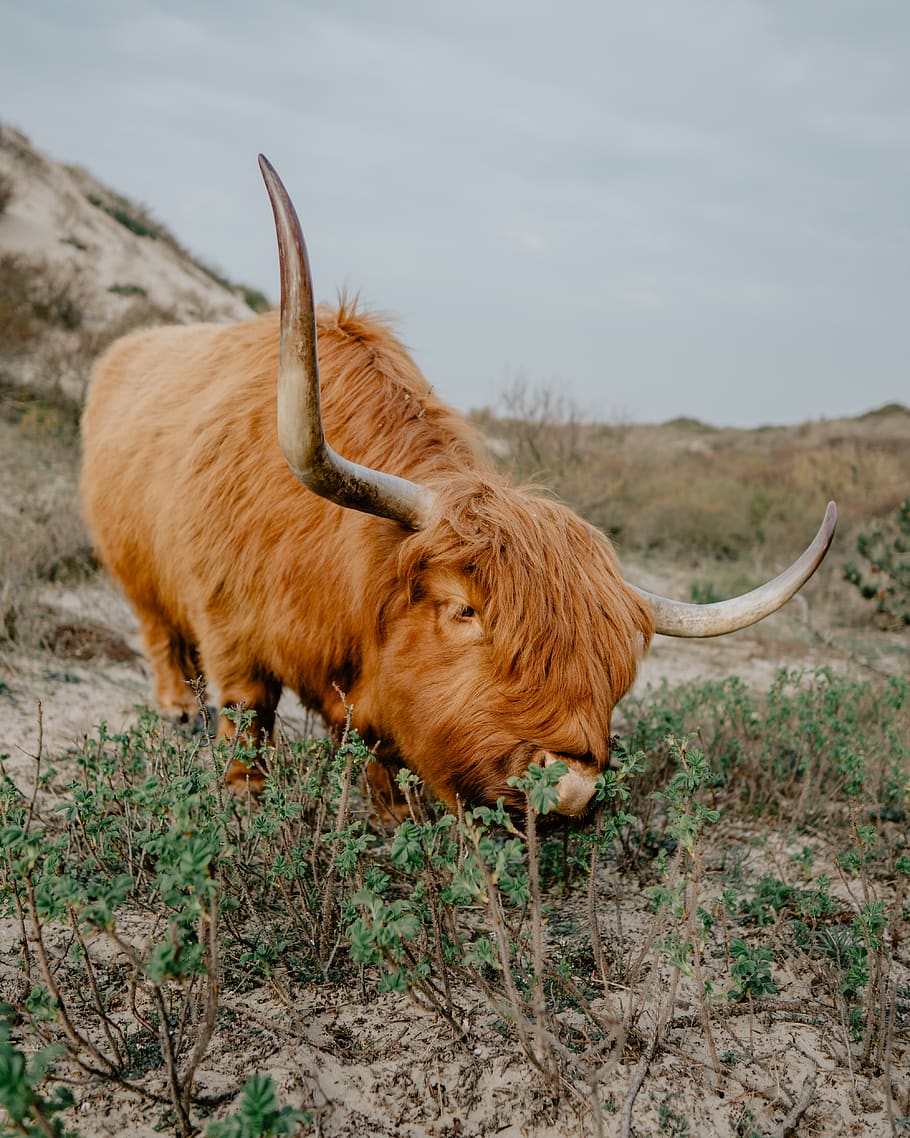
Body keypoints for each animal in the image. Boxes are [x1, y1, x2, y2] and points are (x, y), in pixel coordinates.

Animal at [79, 156, 837, 819]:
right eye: (462, 610)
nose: (569, 790)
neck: (328, 555)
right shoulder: (230, 632)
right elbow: (246, 732)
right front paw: (245, 807)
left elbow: (377, 754)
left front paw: (393, 817)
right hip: (134, 569)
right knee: (158, 633)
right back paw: (179, 710)